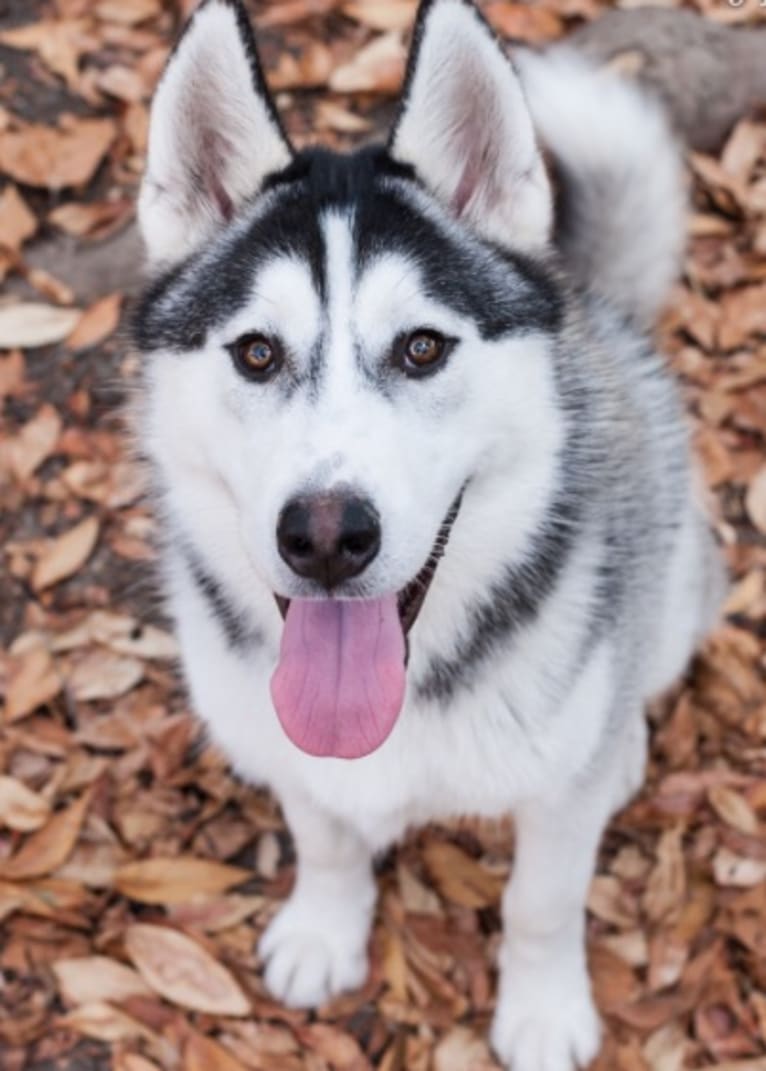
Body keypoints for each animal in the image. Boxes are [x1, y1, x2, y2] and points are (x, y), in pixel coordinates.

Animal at [134, 4, 728, 1066]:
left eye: (421, 348)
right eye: (256, 352)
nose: (327, 534)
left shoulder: (556, 809)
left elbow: (543, 900)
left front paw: (541, 1010)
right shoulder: (290, 755)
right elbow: (325, 837)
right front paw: (326, 929)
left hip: (671, 596)